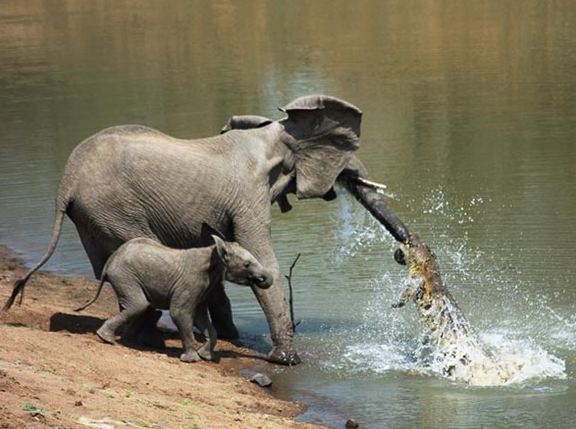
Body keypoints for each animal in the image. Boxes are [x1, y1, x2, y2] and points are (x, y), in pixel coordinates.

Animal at [76, 236, 272, 362]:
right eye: (247, 265)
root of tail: (109, 262)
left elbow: (200, 318)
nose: (262, 279)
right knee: (138, 305)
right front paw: (191, 360)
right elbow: (180, 312)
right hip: (124, 276)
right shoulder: (191, 282)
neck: (214, 251)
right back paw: (106, 338)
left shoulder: (204, 286)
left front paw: (205, 356)